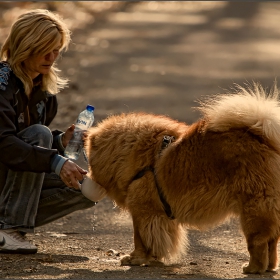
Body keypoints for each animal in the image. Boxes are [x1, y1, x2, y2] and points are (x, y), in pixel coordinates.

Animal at [83, 83, 280, 274]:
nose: (87, 174)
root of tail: (265, 140)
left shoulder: (143, 210)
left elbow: (140, 238)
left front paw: (135, 259)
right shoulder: (160, 216)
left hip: (254, 210)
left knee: (259, 243)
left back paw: (252, 268)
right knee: (272, 242)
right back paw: (269, 267)